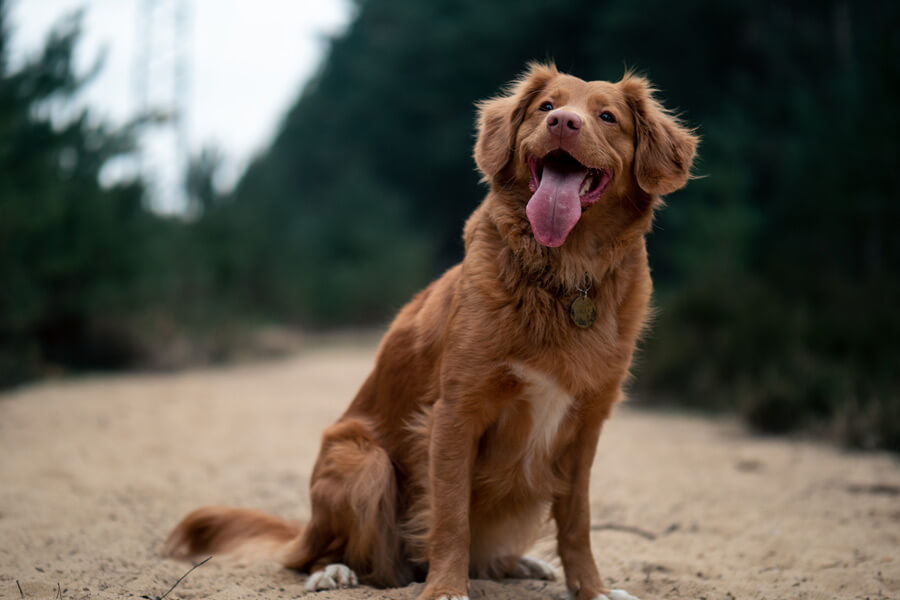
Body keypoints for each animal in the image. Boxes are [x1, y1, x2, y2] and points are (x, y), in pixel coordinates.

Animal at [169, 62, 704, 600]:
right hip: (363, 462)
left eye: (608, 116)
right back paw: (333, 571)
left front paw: (592, 589)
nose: (563, 124)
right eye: (546, 107)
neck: (564, 274)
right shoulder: (454, 413)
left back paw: (519, 563)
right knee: (337, 559)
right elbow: (451, 517)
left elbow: (578, 522)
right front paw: (447, 586)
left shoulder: (586, 426)